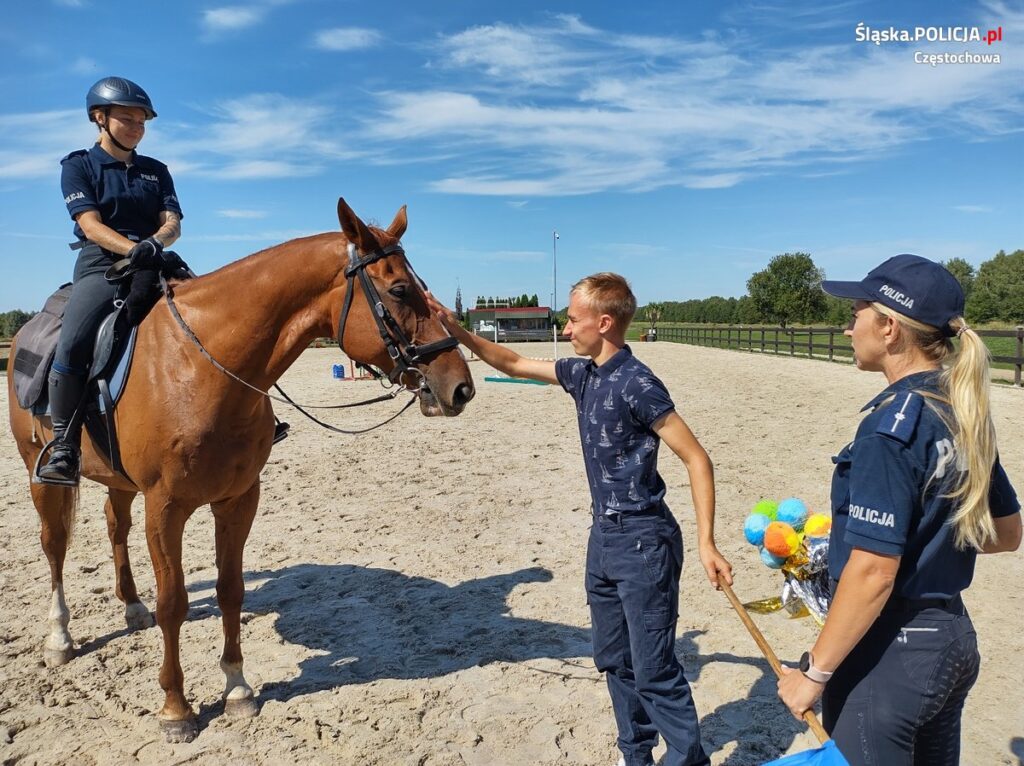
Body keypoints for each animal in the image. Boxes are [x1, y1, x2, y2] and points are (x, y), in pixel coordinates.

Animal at [6, 198, 475, 741]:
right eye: (399, 290)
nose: (460, 387)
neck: (200, 365)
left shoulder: (238, 500)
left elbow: (231, 592)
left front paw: (237, 688)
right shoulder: (165, 507)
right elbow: (174, 602)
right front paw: (176, 709)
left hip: (120, 481)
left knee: (114, 525)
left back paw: (131, 606)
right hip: (40, 472)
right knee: (55, 546)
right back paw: (59, 637)